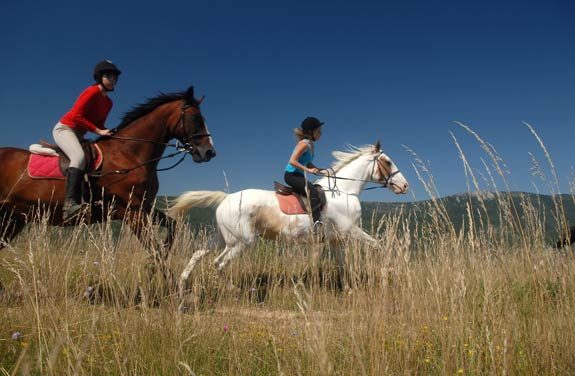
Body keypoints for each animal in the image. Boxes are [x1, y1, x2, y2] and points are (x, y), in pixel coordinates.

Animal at [0, 86, 215, 266]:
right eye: (195, 119)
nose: (209, 152)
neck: (129, 152)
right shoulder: (131, 211)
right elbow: (154, 251)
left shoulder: (143, 206)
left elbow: (171, 229)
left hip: (14, 218)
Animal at [168, 140, 410, 300]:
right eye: (388, 161)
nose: (405, 186)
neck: (344, 191)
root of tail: (226, 197)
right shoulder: (350, 231)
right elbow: (379, 245)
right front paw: (389, 270)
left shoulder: (336, 240)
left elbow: (342, 264)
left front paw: (349, 288)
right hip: (242, 242)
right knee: (218, 263)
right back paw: (234, 290)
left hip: (223, 237)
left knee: (199, 253)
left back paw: (181, 285)